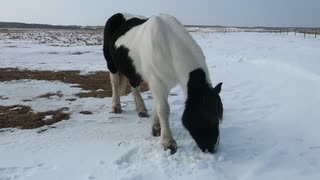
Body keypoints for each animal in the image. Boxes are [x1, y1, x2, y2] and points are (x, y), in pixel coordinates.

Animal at [102, 13, 222, 153]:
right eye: (209, 116)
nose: (212, 147)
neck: (168, 47)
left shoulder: (165, 83)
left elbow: (159, 106)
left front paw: (156, 127)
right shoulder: (157, 81)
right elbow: (163, 108)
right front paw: (168, 142)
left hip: (133, 70)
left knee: (134, 86)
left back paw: (141, 110)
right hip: (112, 65)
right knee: (115, 83)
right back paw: (116, 106)